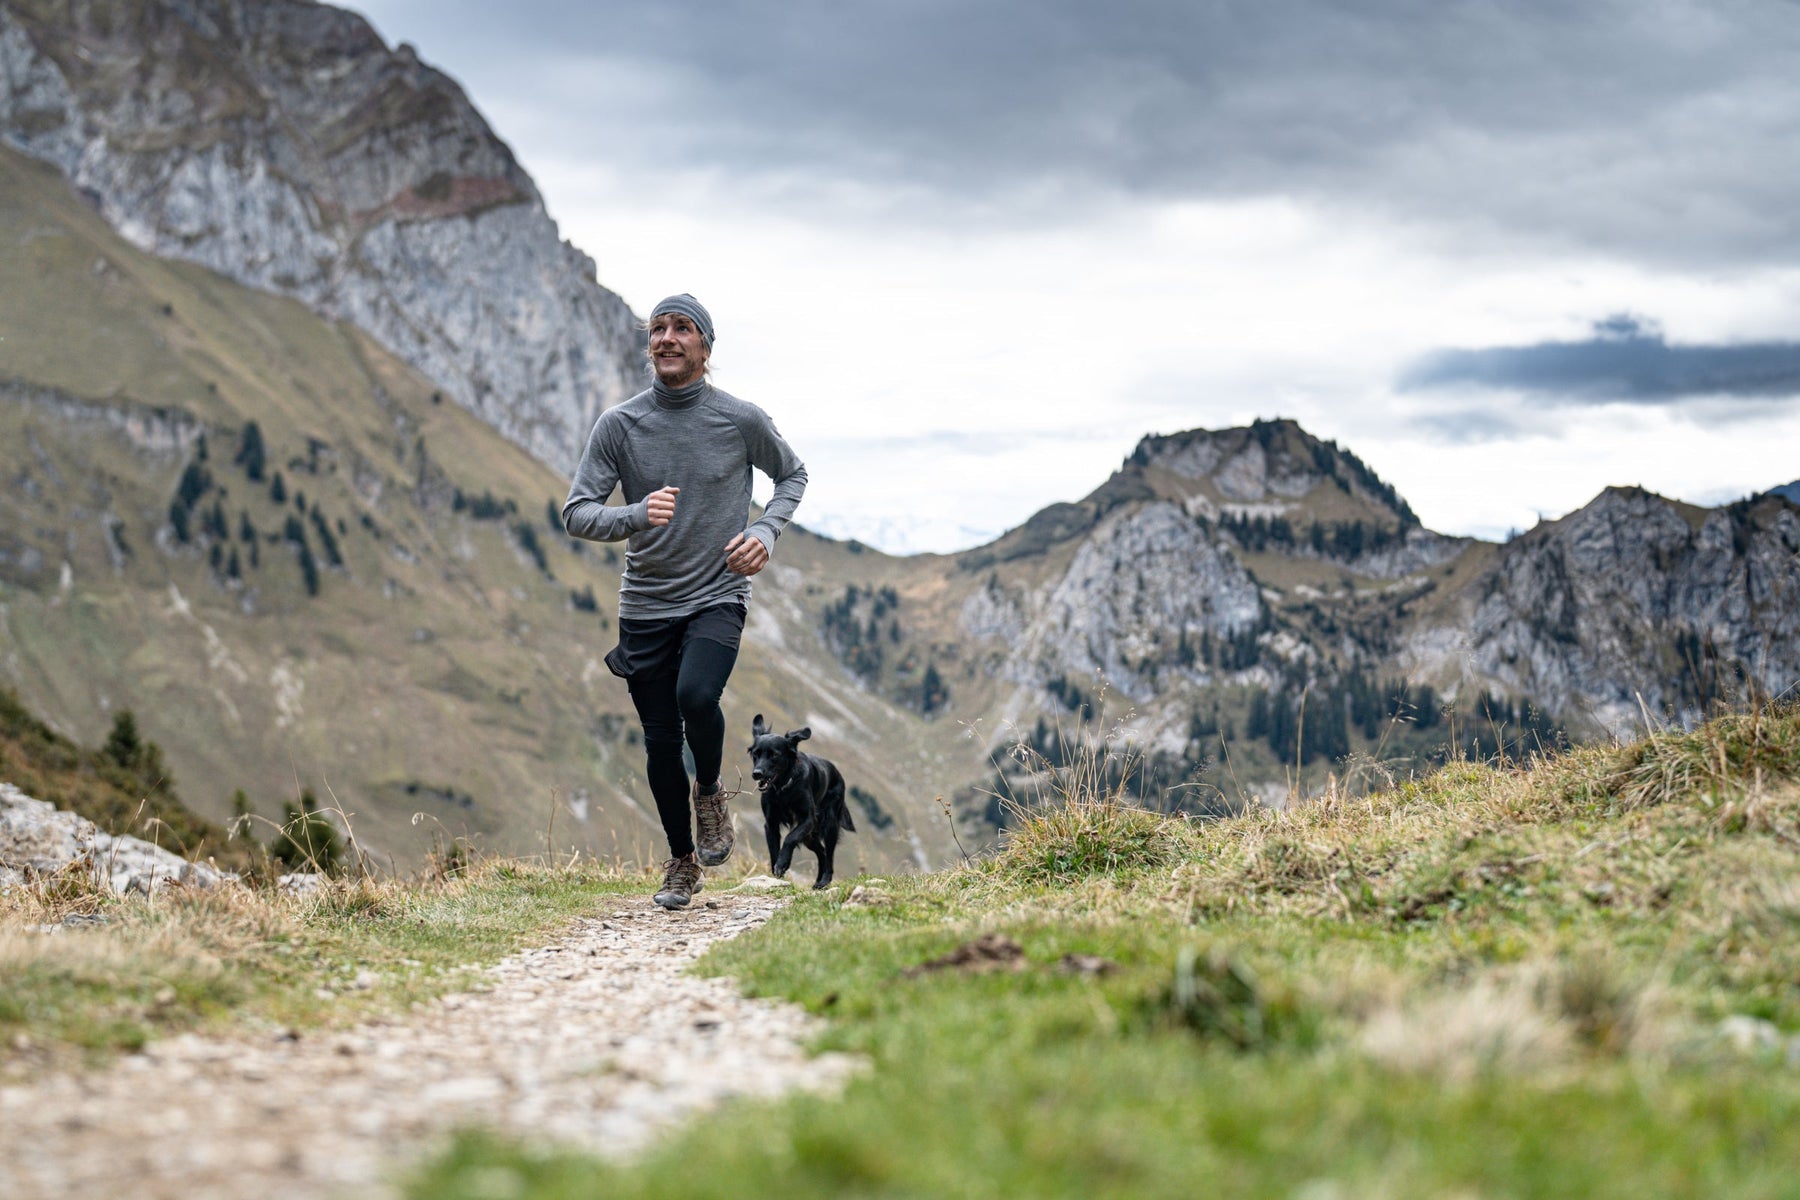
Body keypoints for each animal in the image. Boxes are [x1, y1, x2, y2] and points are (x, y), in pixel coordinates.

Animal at [748, 712, 853, 892]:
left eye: (774, 755)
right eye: (756, 753)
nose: (757, 774)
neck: (783, 788)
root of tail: (836, 772)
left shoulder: (808, 819)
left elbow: (789, 839)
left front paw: (783, 863)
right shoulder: (771, 823)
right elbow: (774, 849)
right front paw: (777, 875)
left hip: (829, 825)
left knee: (829, 855)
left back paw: (824, 881)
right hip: (809, 837)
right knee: (822, 852)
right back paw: (817, 882)